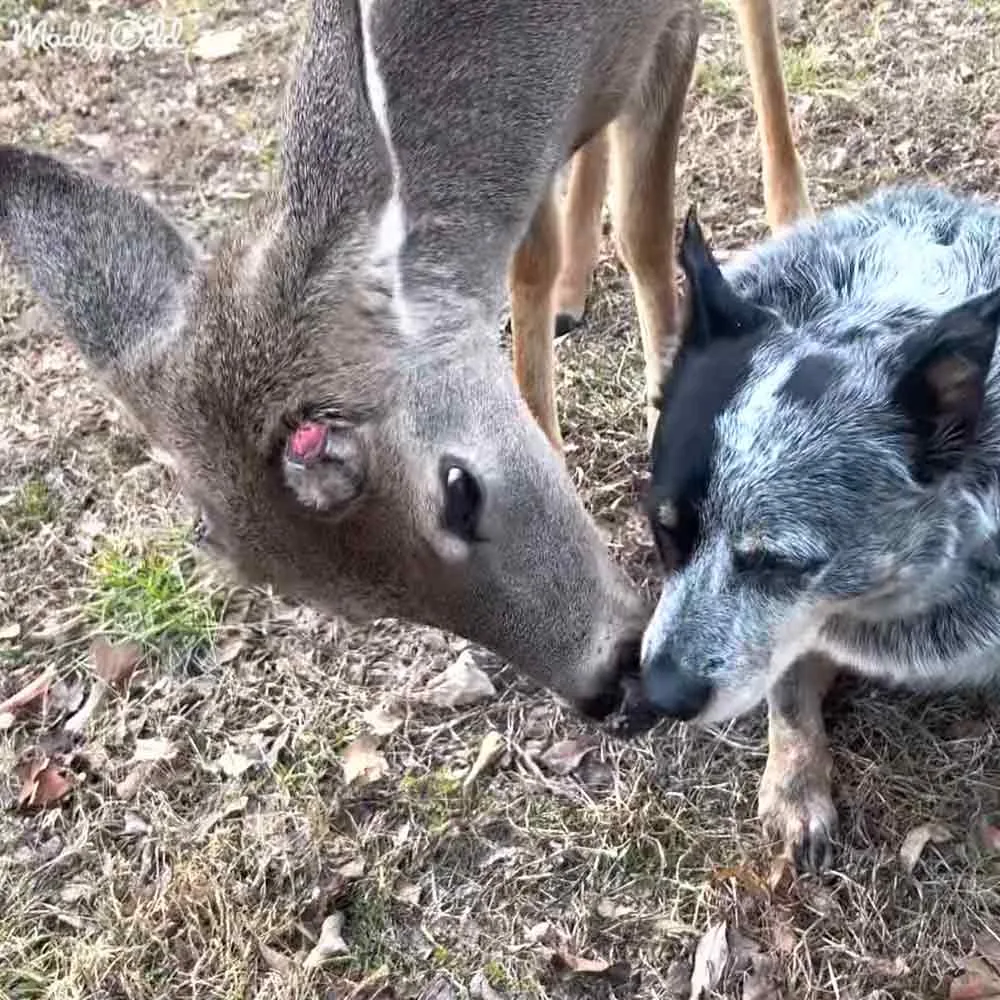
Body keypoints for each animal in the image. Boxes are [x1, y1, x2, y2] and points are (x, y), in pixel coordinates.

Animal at [0, 0, 809, 727]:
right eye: (350, 605)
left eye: (459, 490)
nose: (612, 688)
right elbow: (533, 257)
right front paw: (553, 421)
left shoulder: (672, 27)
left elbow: (643, 224)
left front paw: (666, 398)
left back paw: (790, 206)